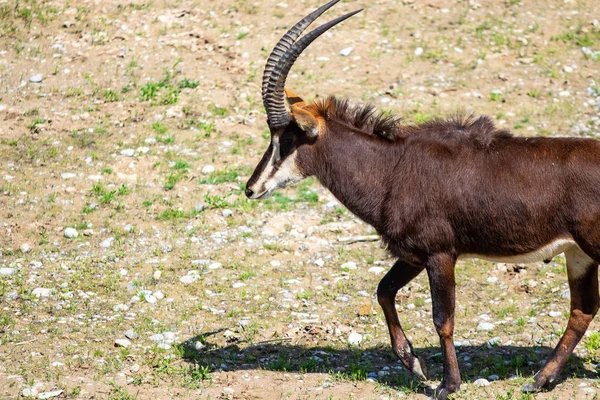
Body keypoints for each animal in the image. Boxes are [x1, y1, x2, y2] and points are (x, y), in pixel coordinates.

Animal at [243, 1, 600, 398]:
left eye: (285, 139)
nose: (251, 188)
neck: (390, 167)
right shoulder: (413, 254)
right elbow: (383, 290)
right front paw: (413, 363)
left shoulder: (440, 254)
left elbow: (443, 319)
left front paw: (448, 383)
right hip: (579, 254)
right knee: (582, 311)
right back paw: (540, 379)